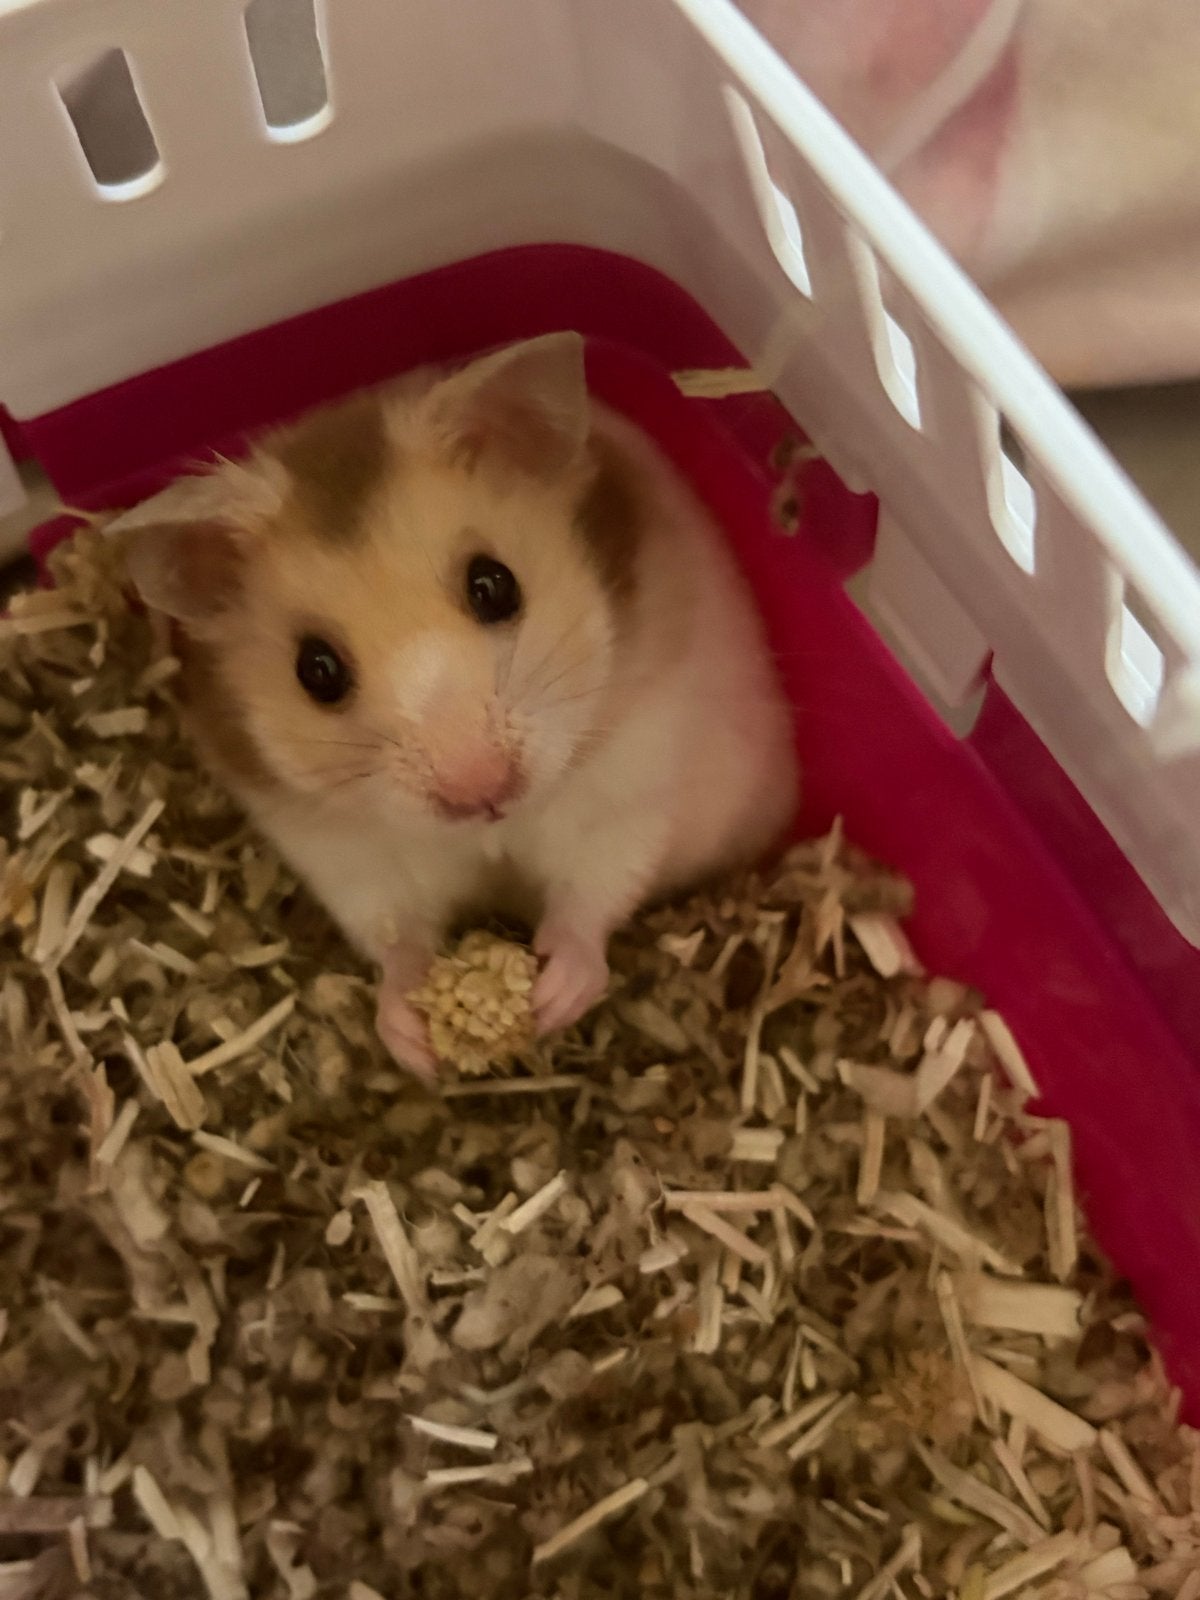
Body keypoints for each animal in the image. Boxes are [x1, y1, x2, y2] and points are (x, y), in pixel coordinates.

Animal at [120, 333, 798, 1079]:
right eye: (316, 670)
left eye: (494, 585)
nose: (481, 791)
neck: (490, 835)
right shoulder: (347, 855)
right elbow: (395, 938)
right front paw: (414, 1041)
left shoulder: (632, 792)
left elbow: (592, 894)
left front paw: (552, 997)